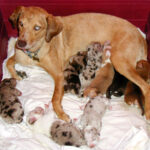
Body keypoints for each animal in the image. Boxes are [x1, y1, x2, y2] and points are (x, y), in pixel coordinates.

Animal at [7, 6, 149, 122]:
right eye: (21, 24)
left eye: (37, 27)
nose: (21, 43)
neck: (34, 53)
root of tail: (140, 36)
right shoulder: (18, 55)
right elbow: (8, 62)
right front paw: (18, 74)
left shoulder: (59, 75)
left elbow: (55, 98)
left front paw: (61, 113)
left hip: (120, 61)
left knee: (146, 86)